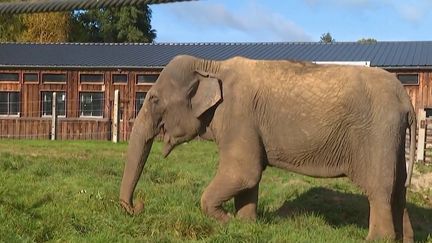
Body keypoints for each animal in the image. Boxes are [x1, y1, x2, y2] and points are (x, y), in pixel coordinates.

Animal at [118, 54, 416, 241]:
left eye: (154, 99)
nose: (138, 206)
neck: (212, 65)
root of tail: (406, 100)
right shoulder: (246, 125)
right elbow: (249, 178)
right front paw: (245, 226)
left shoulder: (238, 115)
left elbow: (244, 172)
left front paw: (227, 222)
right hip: (392, 138)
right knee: (398, 191)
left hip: (378, 134)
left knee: (379, 190)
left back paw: (377, 239)